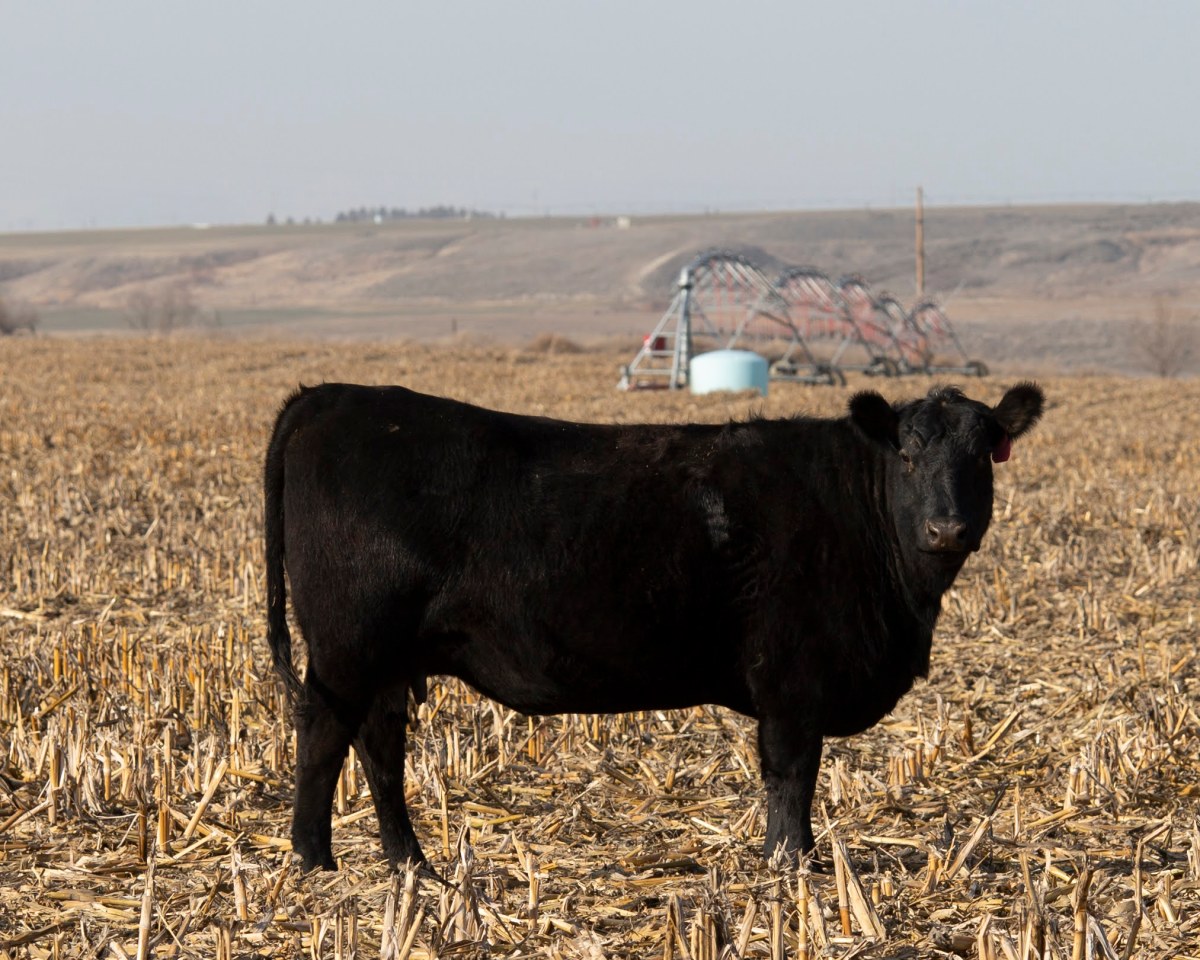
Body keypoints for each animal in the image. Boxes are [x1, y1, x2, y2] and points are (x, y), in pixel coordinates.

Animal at [264, 380, 1044, 871]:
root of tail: (333, 394)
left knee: (379, 746)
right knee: (324, 735)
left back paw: (411, 863)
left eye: (984, 452)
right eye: (907, 452)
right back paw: (313, 859)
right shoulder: (793, 680)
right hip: (347, 649)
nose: (948, 527)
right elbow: (792, 776)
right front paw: (794, 864)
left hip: (388, 660)